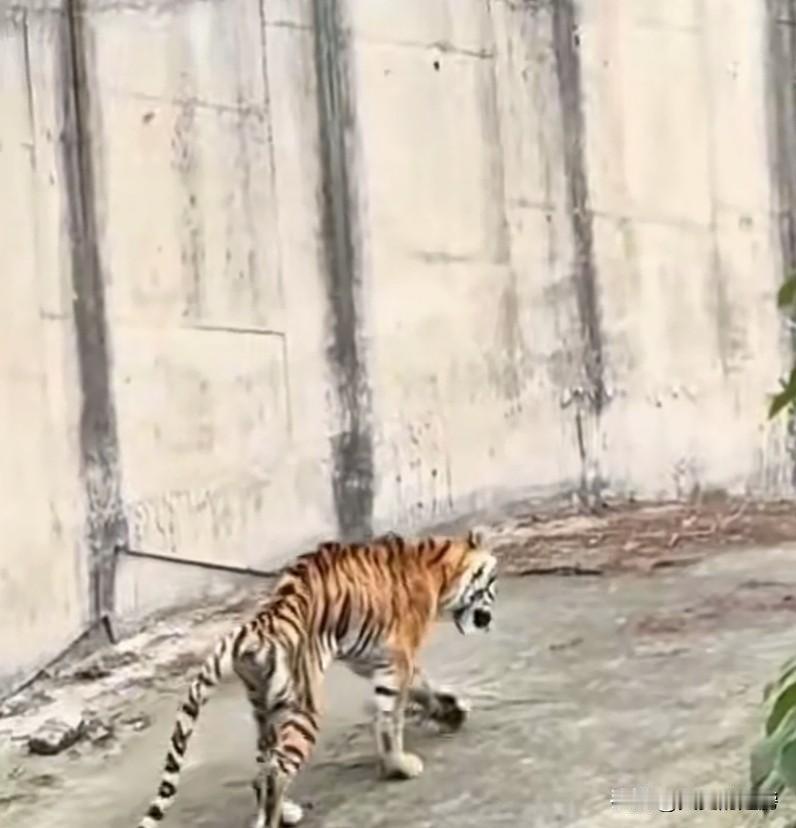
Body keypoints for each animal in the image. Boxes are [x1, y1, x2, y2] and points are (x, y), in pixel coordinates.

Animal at [135, 529, 498, 828]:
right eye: (493, 582)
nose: (490, 618)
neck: (439, 567)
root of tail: (257, 627)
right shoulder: (397, 659)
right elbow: (391, 718)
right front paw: (401, 766)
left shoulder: (374, 659)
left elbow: (422, 687)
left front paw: (452, 712)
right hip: (302, 707)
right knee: (275, 772)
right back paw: (273, 818)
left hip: (265, 707)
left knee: (264, 765)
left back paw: (286, 811)